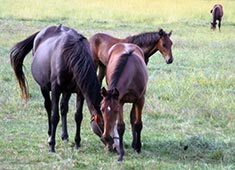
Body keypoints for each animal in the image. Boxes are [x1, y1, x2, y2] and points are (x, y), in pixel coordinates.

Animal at [9, 24, 103, 152]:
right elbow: (54, 116)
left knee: (63, 108)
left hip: (67, 90)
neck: (72, 54)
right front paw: (52, 145)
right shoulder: (55, 89)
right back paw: (50, 134)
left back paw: (65, 136)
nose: (114, 147)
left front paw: (77, 143)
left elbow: (78, 116)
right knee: (48, 107)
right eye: (104, 123)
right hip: (44, 87)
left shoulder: (80, 92)